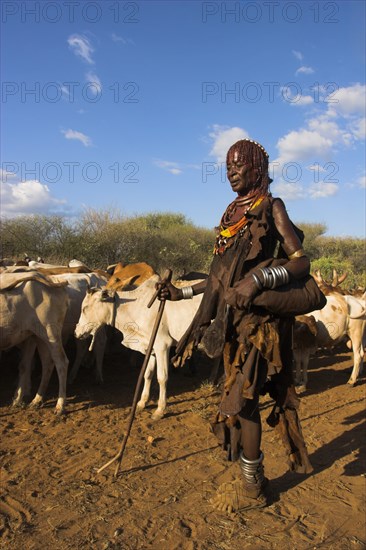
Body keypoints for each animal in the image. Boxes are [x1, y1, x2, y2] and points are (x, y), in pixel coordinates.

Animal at [0, 272, 69, 414]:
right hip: (38, 336)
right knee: (47, 363)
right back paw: (36, 400)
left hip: (51, 333)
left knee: (61, 363)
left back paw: (60, 405)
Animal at [75, 276, 204, 422]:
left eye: (84, 308)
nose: (76, 332)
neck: (136, 308)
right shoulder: (150, 348)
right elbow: (147, 374)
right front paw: (142, 402)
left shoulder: (162, 345)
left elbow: (162, 377)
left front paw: (160, 410)